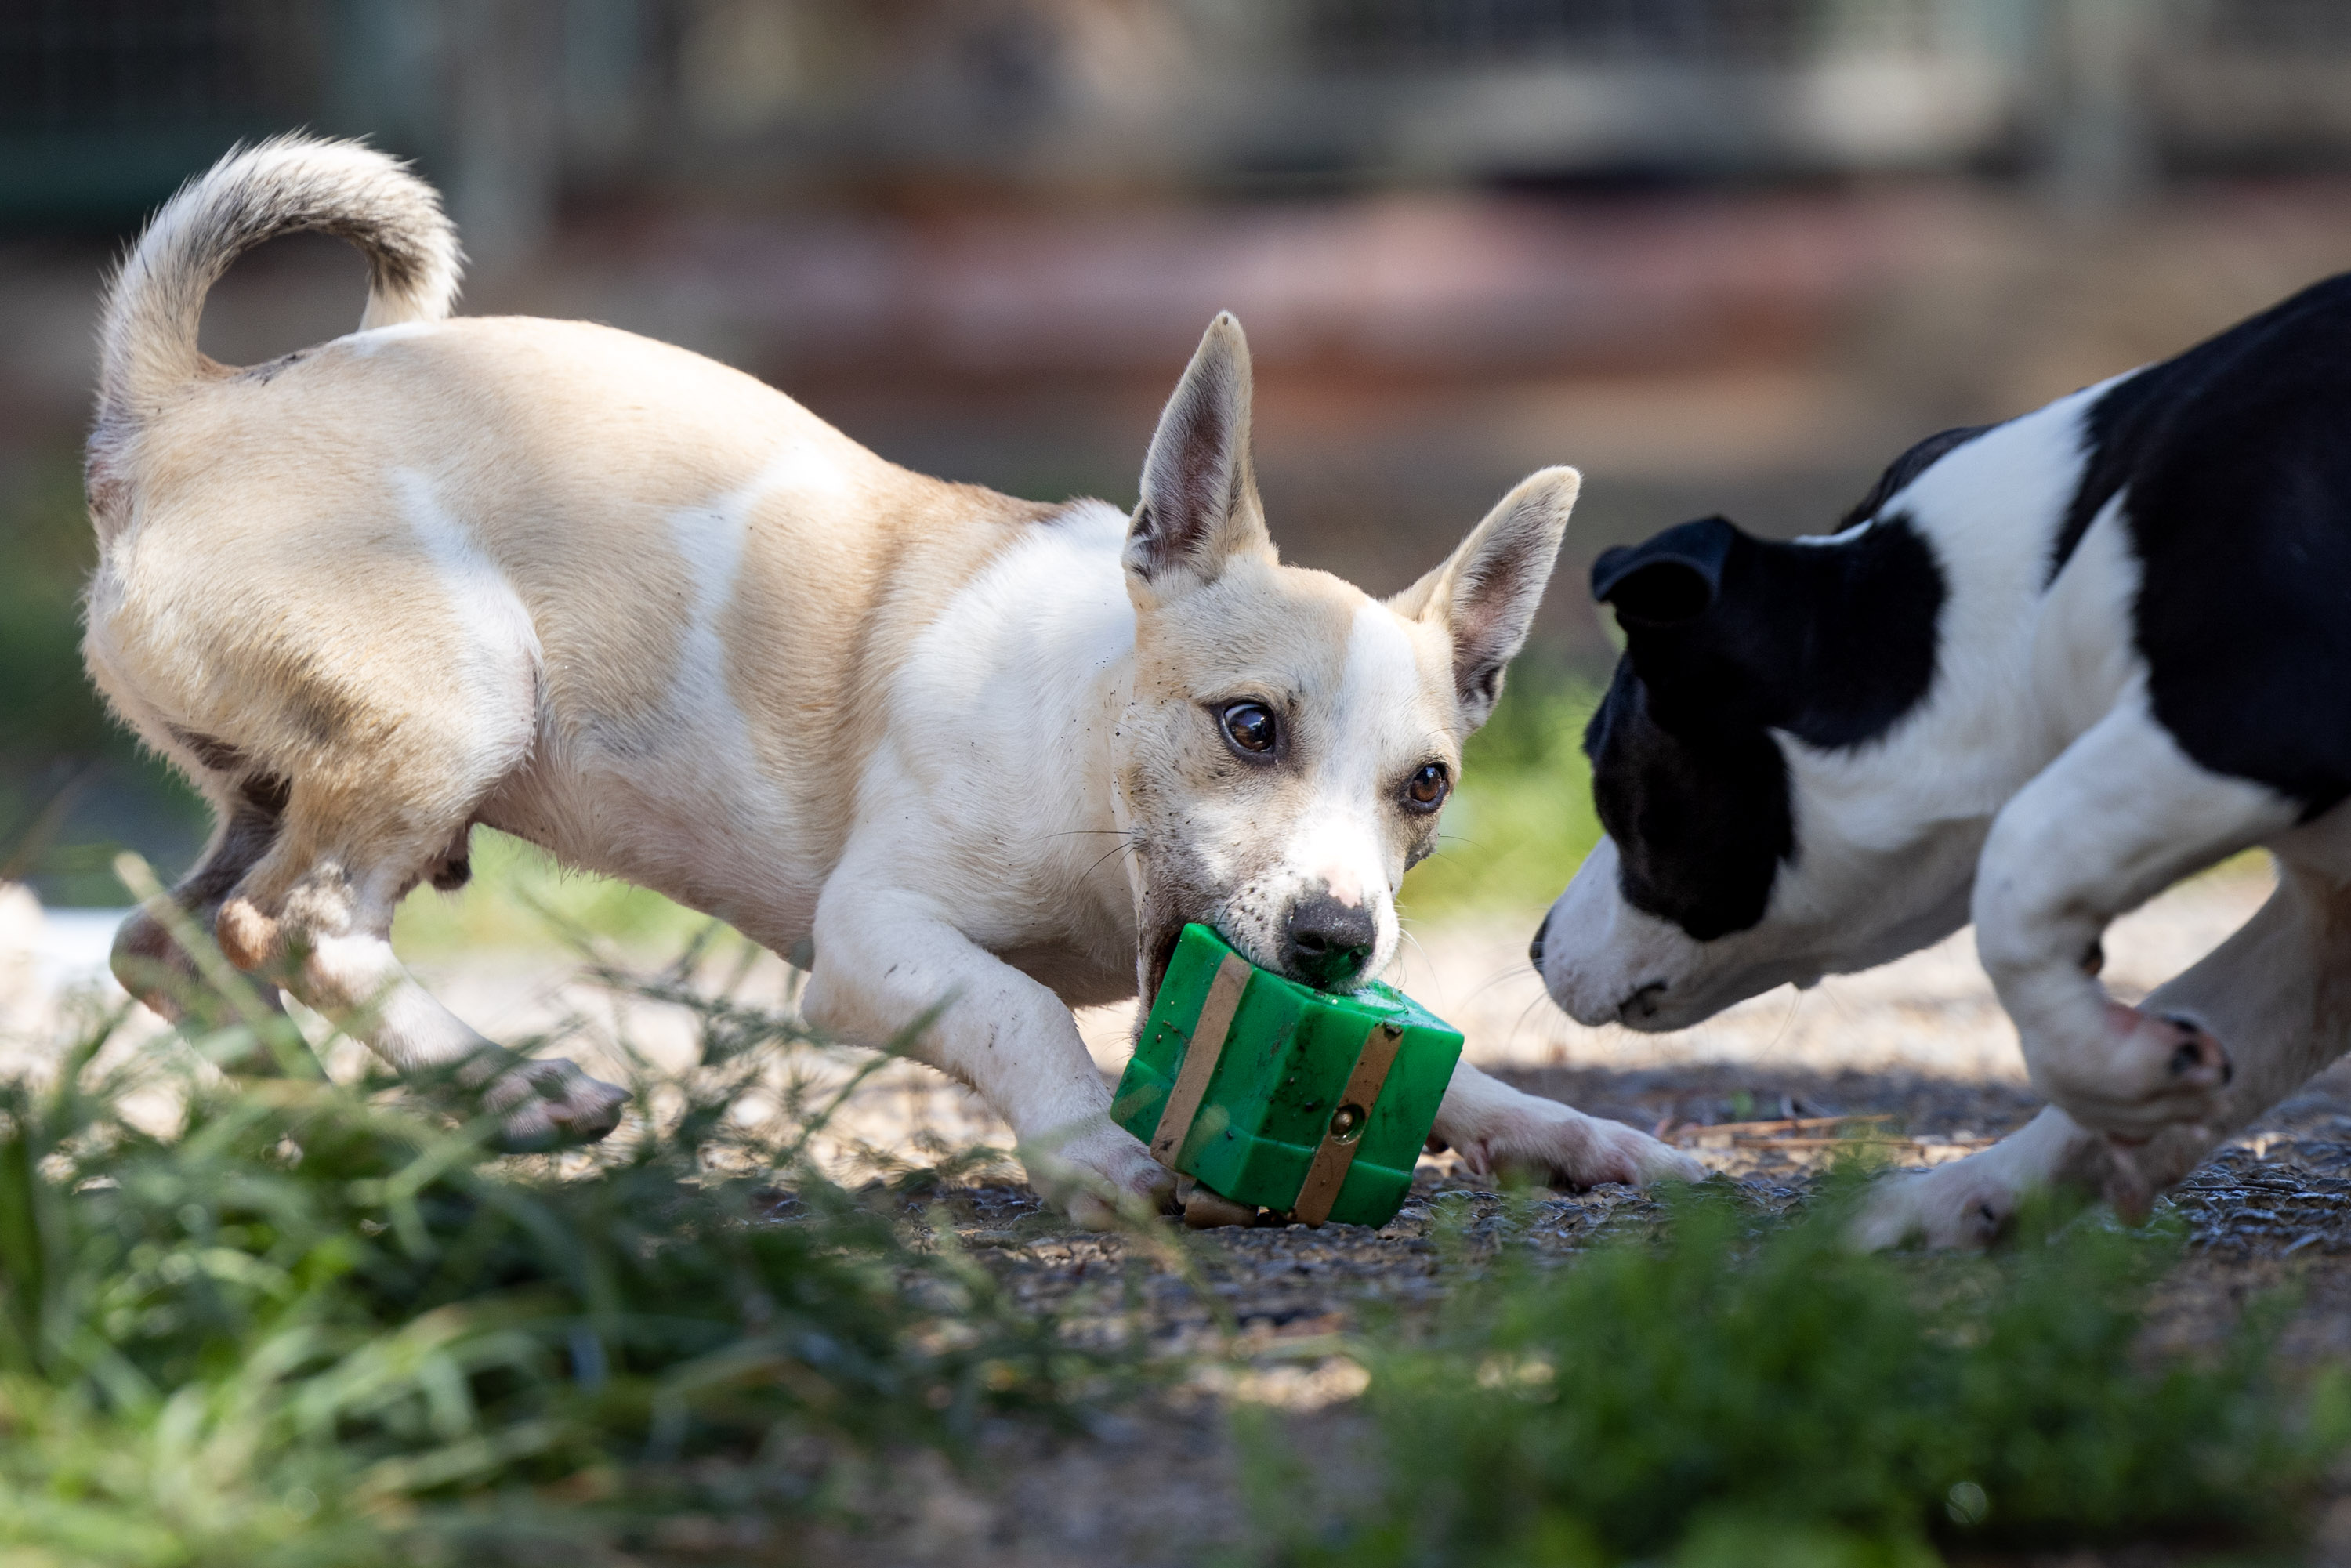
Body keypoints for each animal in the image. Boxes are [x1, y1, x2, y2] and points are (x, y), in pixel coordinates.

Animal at [86, 138, 1699, 1224]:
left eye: (1425, 788)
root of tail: (181, 413)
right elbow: (1020, 1010)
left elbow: (1453, 1064)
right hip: (465, 695)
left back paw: (338, 1115)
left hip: (287, 783)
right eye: (1249, 728)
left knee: (179, 942)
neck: (1084, 757)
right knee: (300, 929)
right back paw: (514, 1088)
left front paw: (1578, 1137)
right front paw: (1092, 1149)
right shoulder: (874, 941)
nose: (1333, 937)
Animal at [1532, 271, 2351, 1245]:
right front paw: (1975, 1191)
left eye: (1608, 783)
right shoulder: (2324, 915)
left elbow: (2019, 872)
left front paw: (2116, 1069)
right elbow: (2210, 1015)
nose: (1536, 946)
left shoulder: (2254, 704)